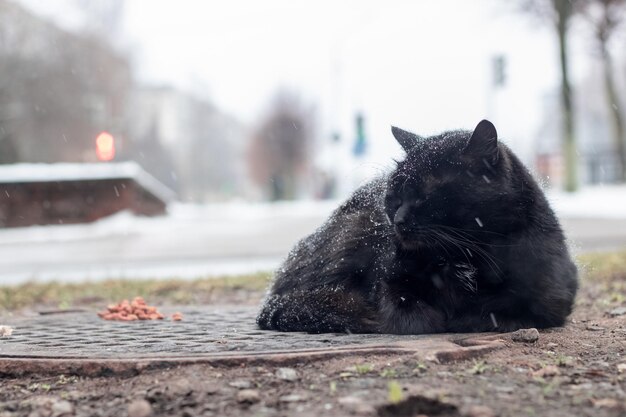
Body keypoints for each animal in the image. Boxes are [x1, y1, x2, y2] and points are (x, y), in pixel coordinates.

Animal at [256, 118, 576, 334]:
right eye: (393, 196)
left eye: (424, 194)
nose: (397, 220)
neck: (467, 255)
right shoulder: (390, 283)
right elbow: (412, 317)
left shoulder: (551, 301)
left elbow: (498, 313)